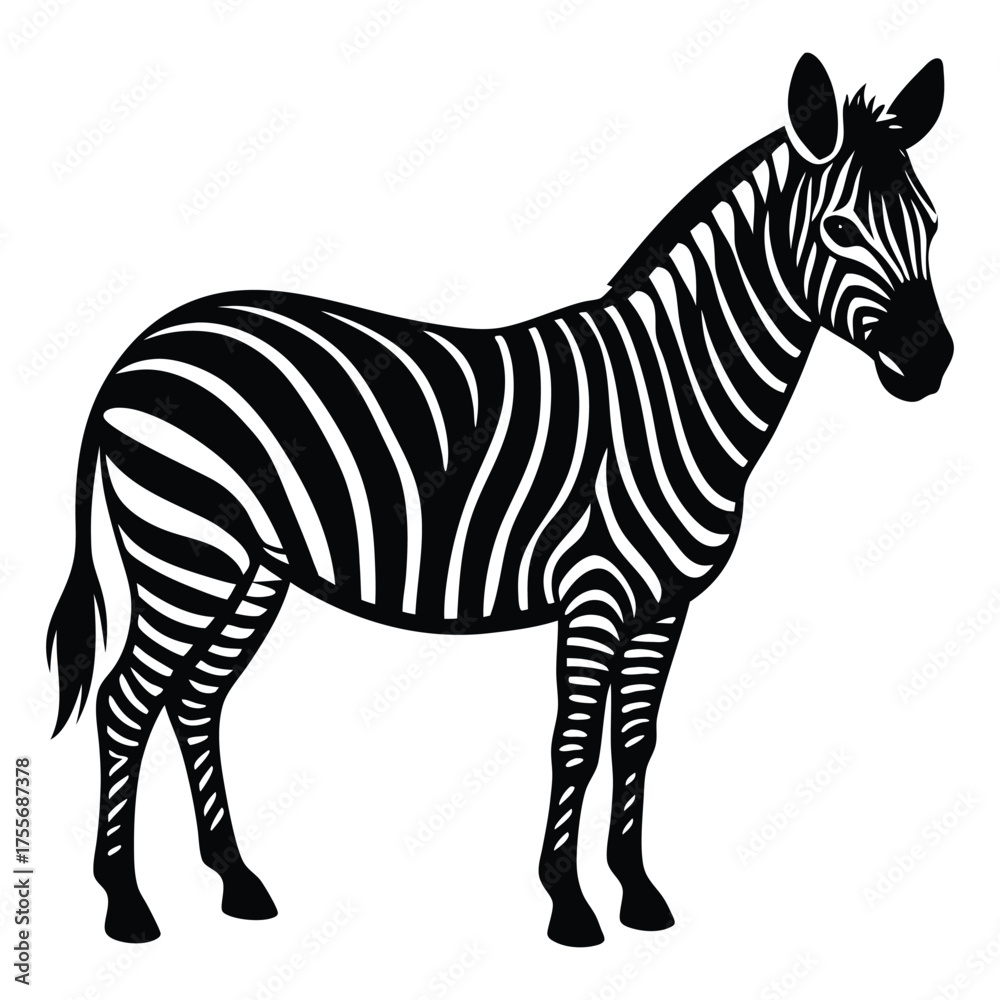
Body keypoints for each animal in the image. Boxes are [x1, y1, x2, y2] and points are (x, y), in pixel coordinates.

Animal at [47, 53, 953, 947]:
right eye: (840, 230)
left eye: (934, 226)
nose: (930, 360)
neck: (672, 392)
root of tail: (141, 346)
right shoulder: (594, 592)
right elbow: (576, 743)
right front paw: (570, 906)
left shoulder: (665, 605)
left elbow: (637, 741)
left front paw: (639, 894)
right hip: (187, 551)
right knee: (127, 702)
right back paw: (126, 904)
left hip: (251, 569)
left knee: (196, 699)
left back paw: (236, 882)